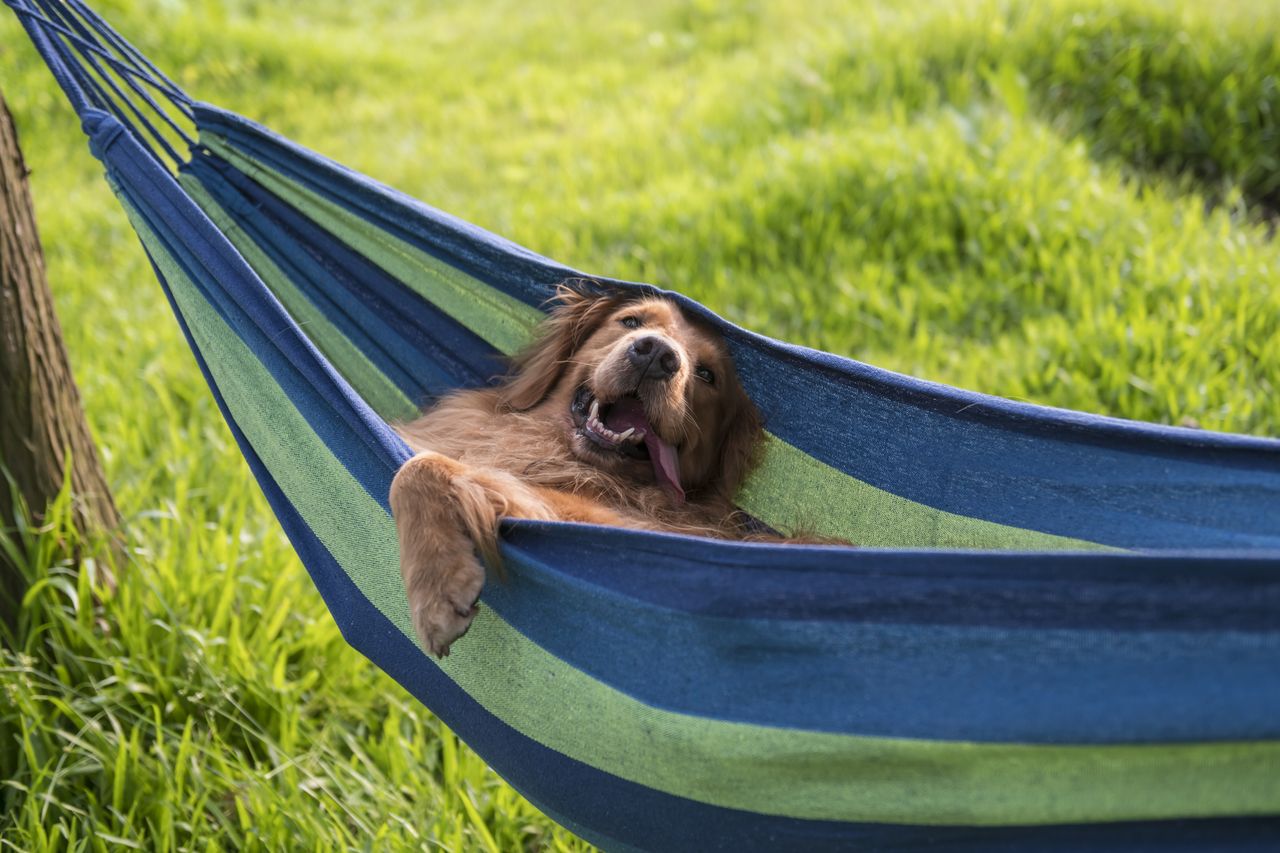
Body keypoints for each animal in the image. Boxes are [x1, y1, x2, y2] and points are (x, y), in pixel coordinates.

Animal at [394, 281, 778, 653]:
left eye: (707, 375)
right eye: (631, 321)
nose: (656, 354)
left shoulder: (596, 517)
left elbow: (418, 467)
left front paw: (437, 588)